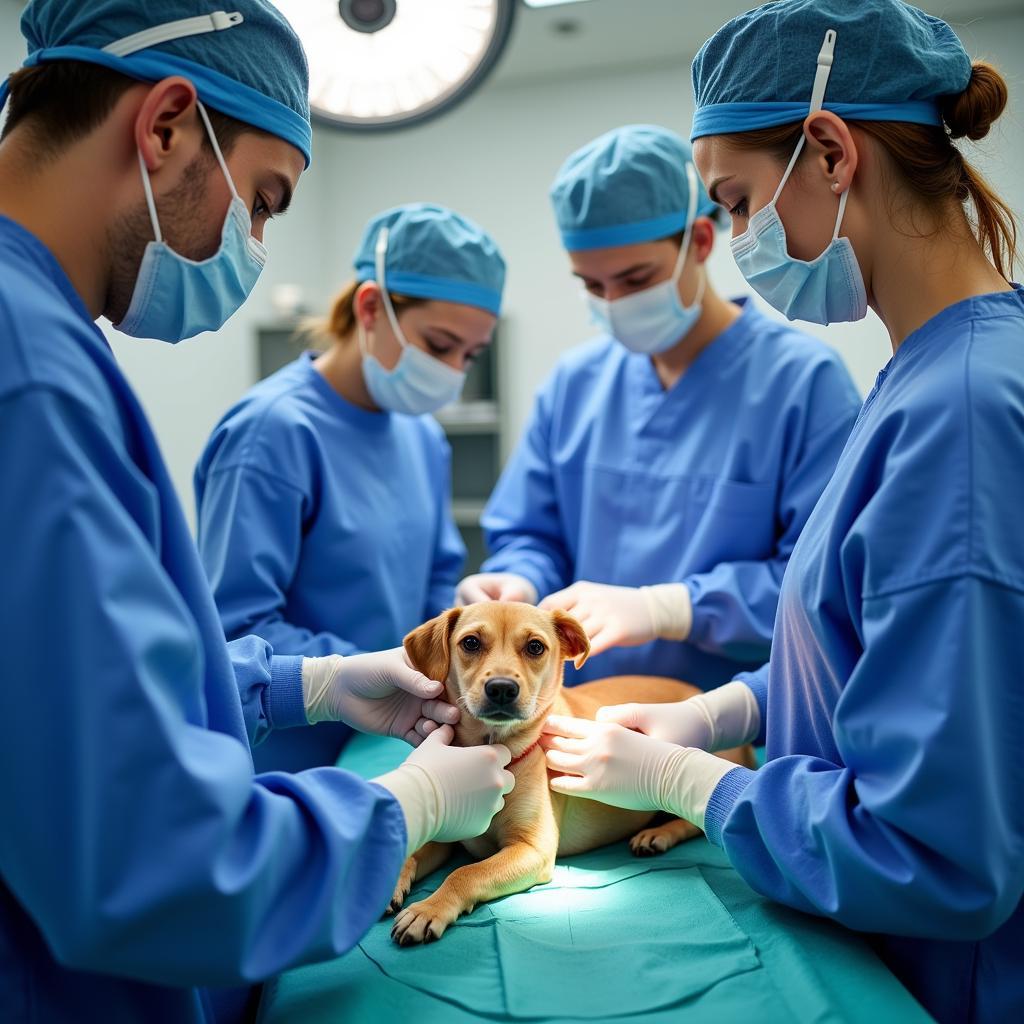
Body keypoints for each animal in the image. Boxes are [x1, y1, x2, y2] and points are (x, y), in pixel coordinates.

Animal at [387, 598, 757, 942]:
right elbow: (411, 851)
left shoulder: (532, 849)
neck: (496, 752)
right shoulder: (446, 833)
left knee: (697, 820)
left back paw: (659, 834)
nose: (502, 688)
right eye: (471, 643)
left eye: (535, 646)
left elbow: (466, 872)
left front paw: (429, 908)